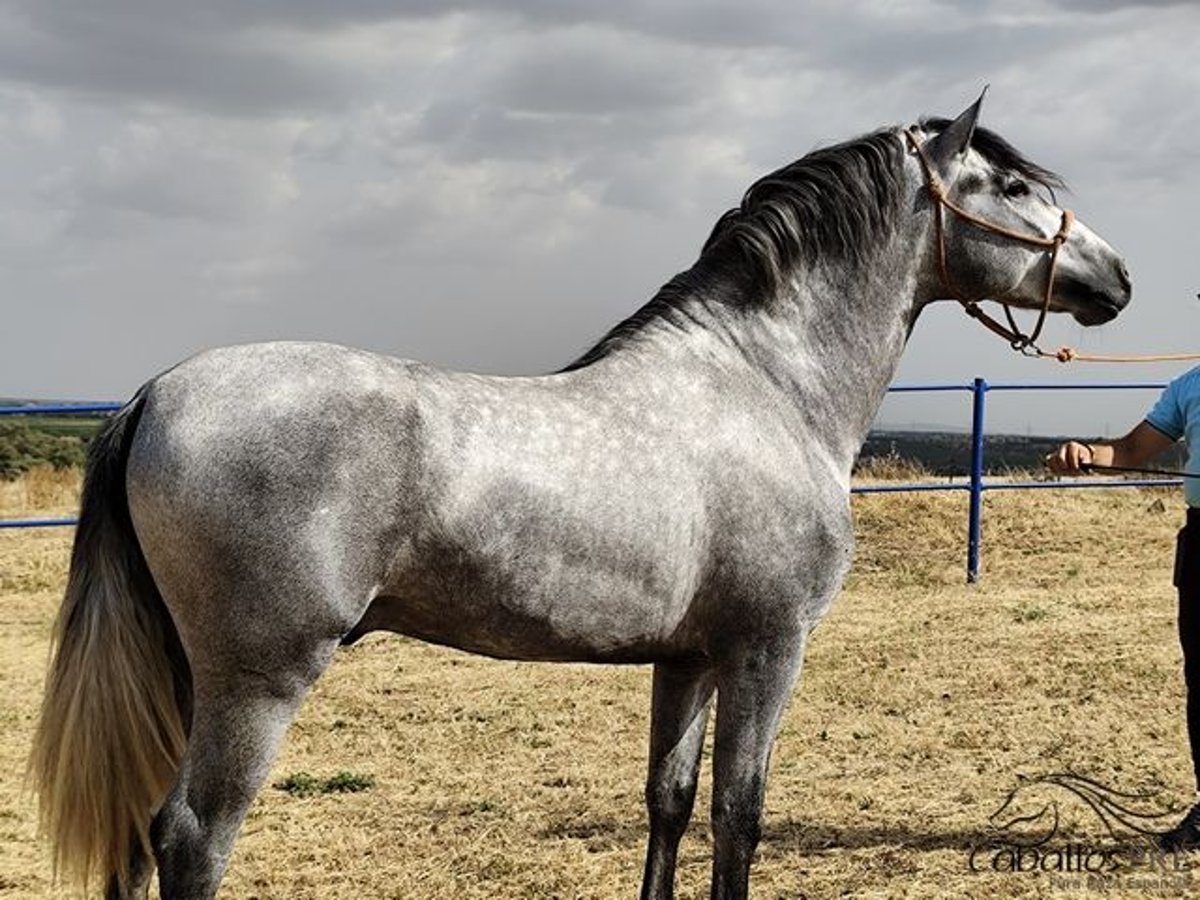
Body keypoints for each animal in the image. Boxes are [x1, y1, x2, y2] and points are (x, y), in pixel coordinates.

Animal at [30, 98, 1132, 900]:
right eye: (1012, 184)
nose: (1116, 276)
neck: (764, 384)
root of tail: (157, 394)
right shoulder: (768, 647)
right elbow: (740, 817)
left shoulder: (688, 658)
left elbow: (670, 803)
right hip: (256, 681)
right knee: (190, 837)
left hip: (187, 675)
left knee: (138, 834)